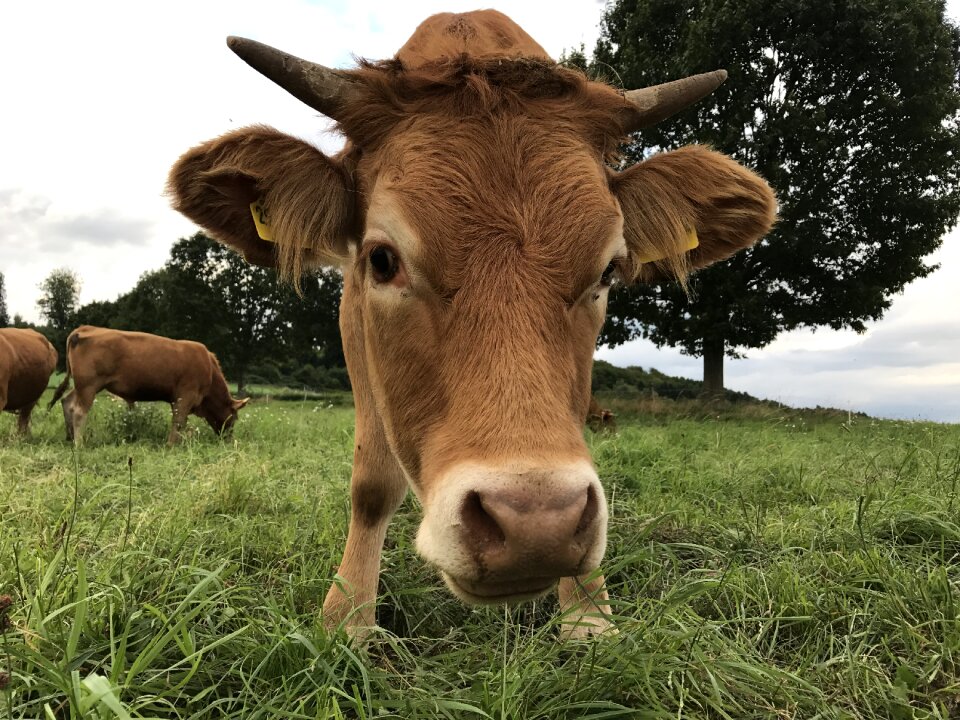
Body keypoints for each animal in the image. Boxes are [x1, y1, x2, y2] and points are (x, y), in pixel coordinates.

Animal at [48, 326, 248, 444]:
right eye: (234, 417)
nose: (229, 440)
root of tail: (84, 329)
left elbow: (180, 423)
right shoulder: (185, 396)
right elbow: (178, 422)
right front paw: (172, 445)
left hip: (82, 386)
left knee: (67, 403)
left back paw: (70, 437)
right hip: (89, 386)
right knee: (79, 411)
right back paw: (79, 444)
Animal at [167, 11, 780, 640]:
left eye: (609, 269)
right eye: (381, 259)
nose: (537, 524)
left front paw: (589, 614)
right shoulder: (353, 318)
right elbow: (372, 485)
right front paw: (346, 618)